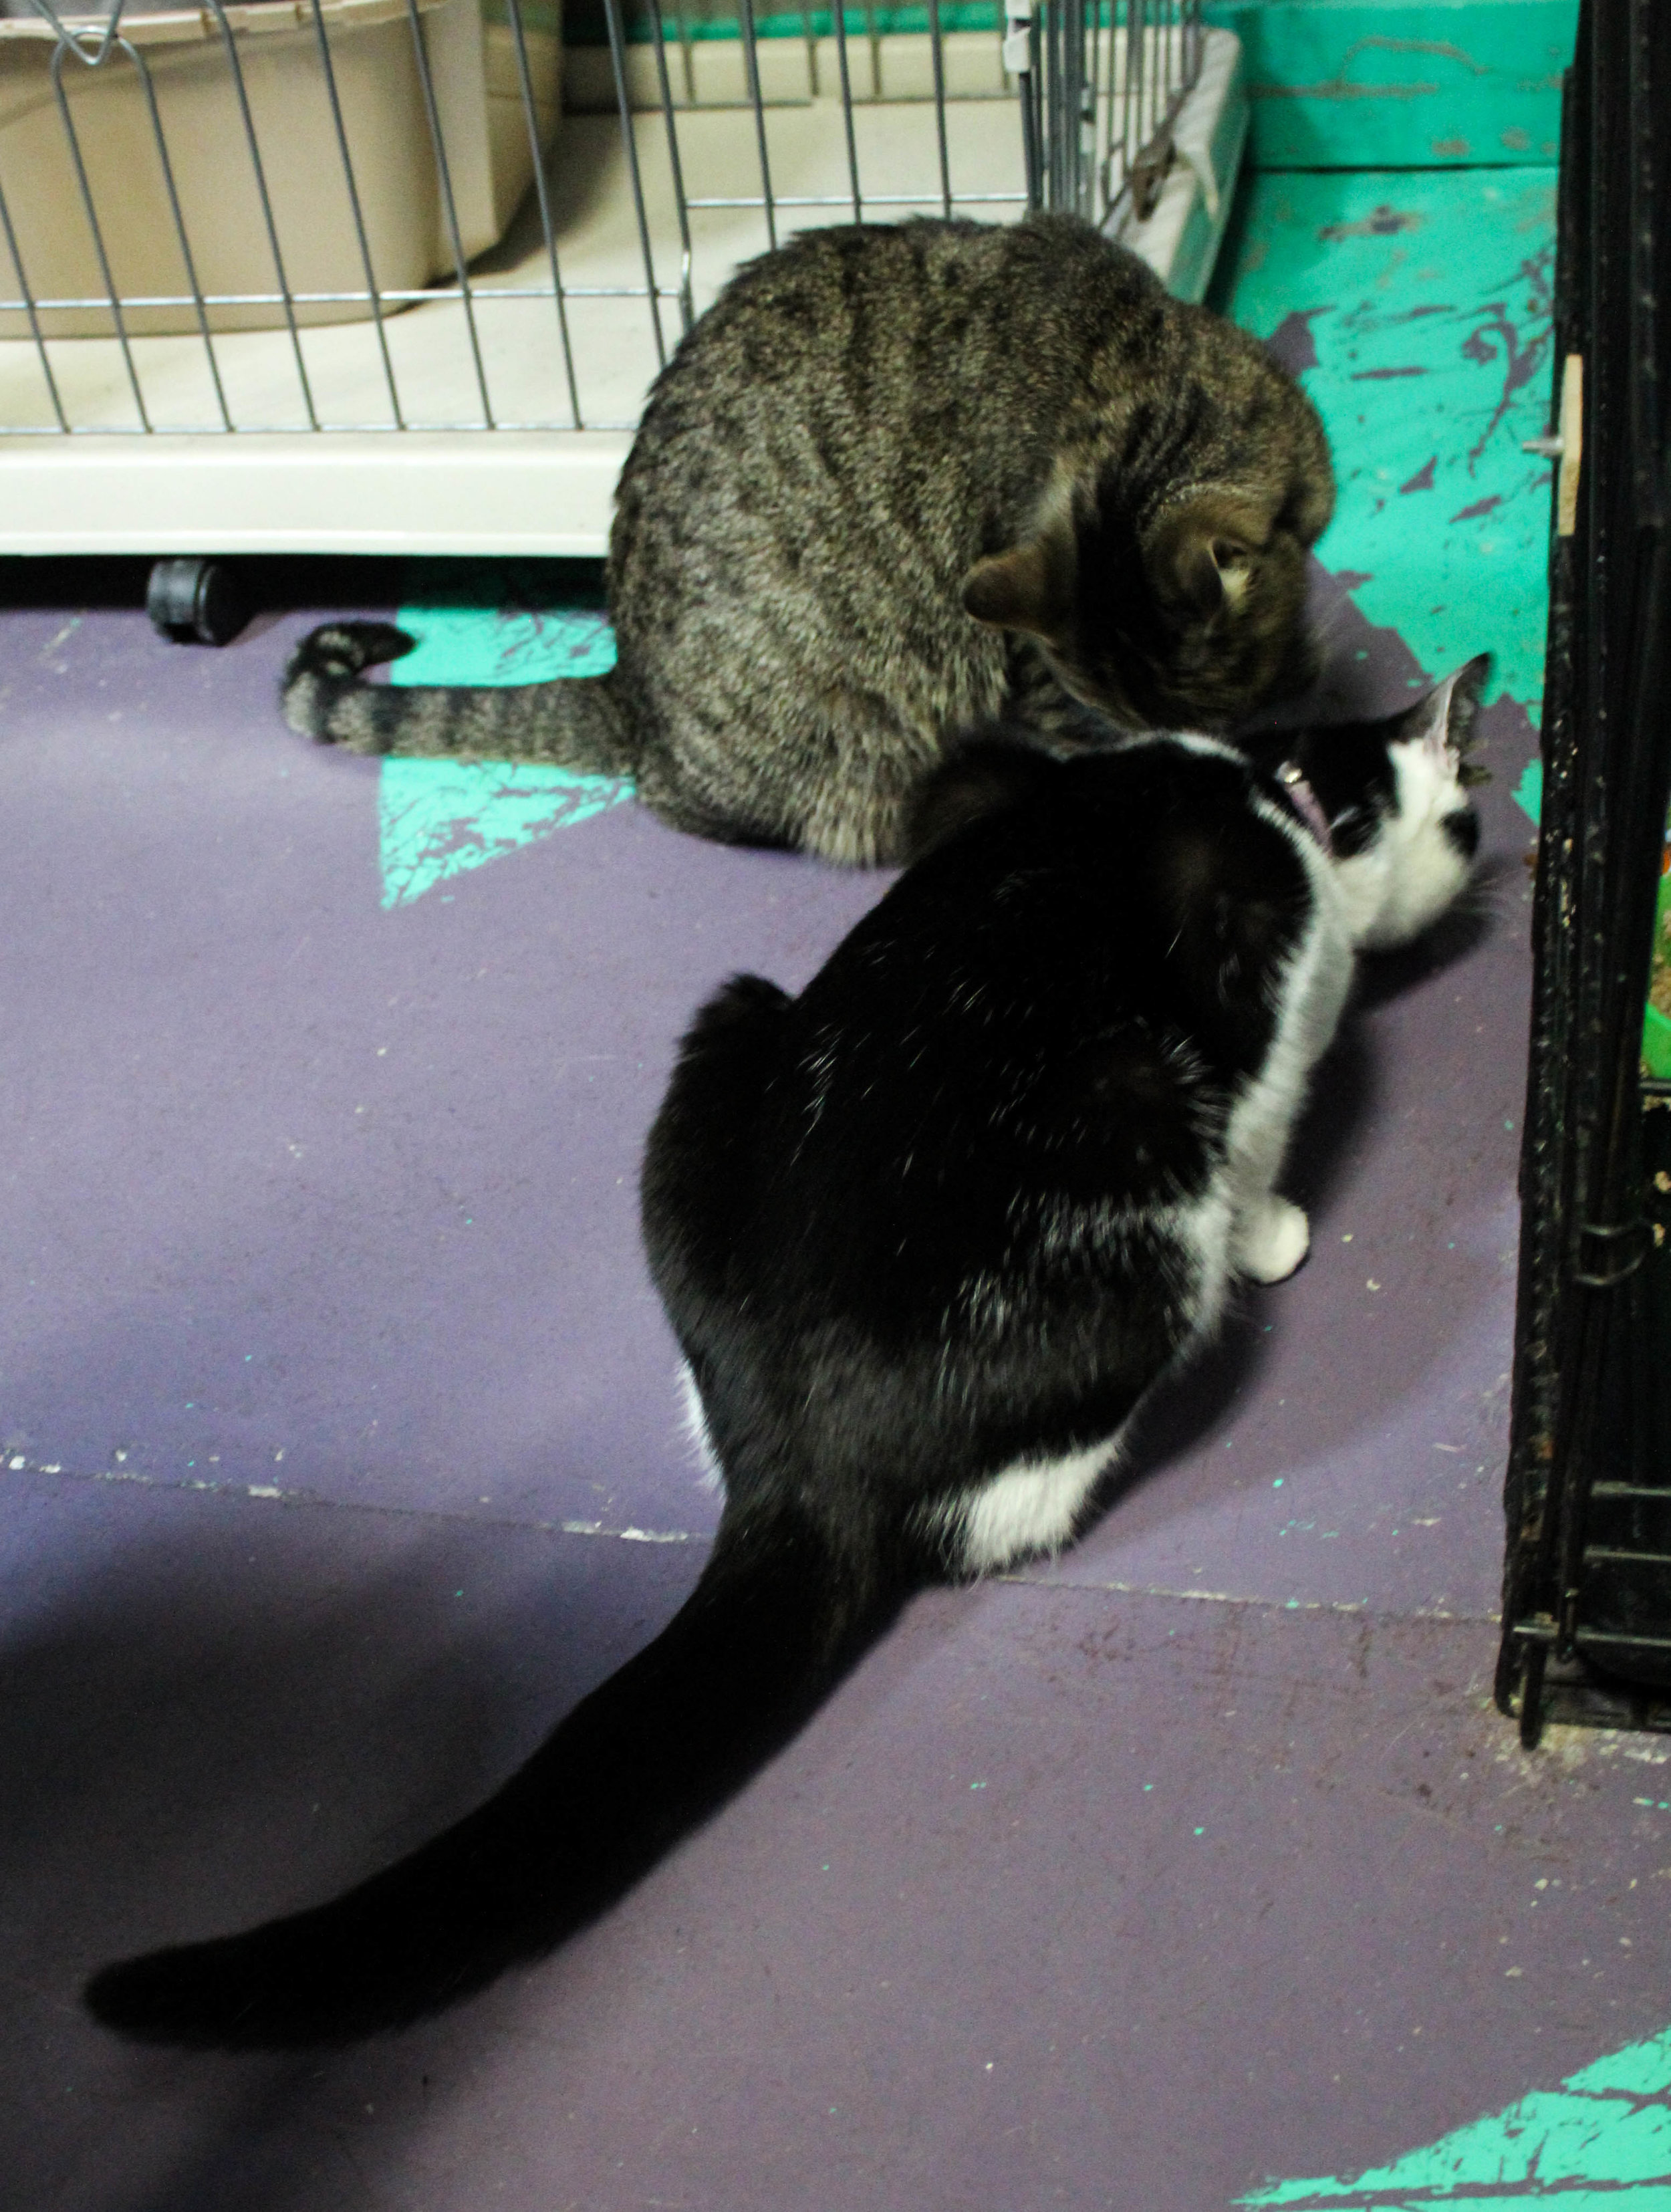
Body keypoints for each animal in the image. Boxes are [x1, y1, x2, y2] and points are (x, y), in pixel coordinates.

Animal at [85, 659, 1485, 2052]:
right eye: (1475, 820)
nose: (1485, 871)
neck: (1273, 783)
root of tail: (802, 1459)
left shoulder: (973, 783)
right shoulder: (1278, 986)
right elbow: (1273, 1125)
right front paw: (1282, 1230)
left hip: (731, 1022)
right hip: (1139, 1175)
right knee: (1004, 1504)